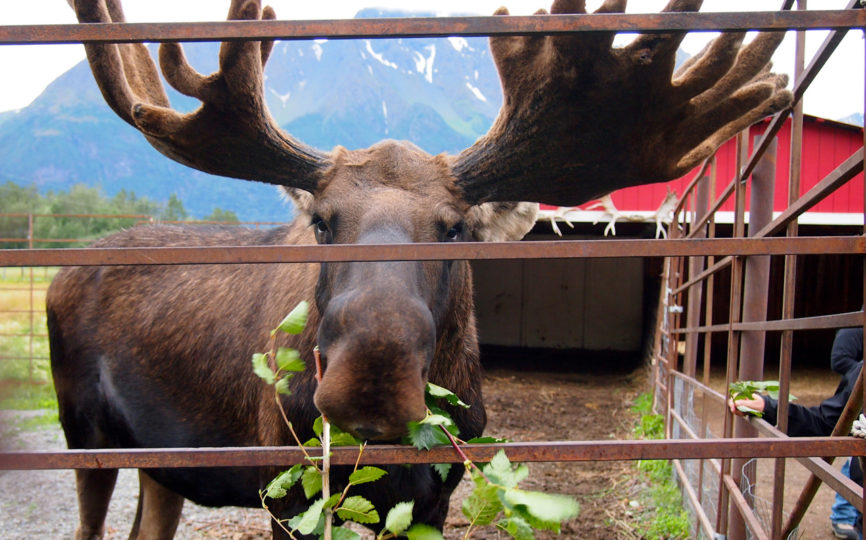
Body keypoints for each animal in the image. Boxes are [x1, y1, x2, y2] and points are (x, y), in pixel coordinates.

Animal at [49, 0, 788, 536]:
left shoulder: (433, 498)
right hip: (84, 432)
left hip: (159, 462)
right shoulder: (285, 490)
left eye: (455, 227)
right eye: (323, 223)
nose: (370, 381)